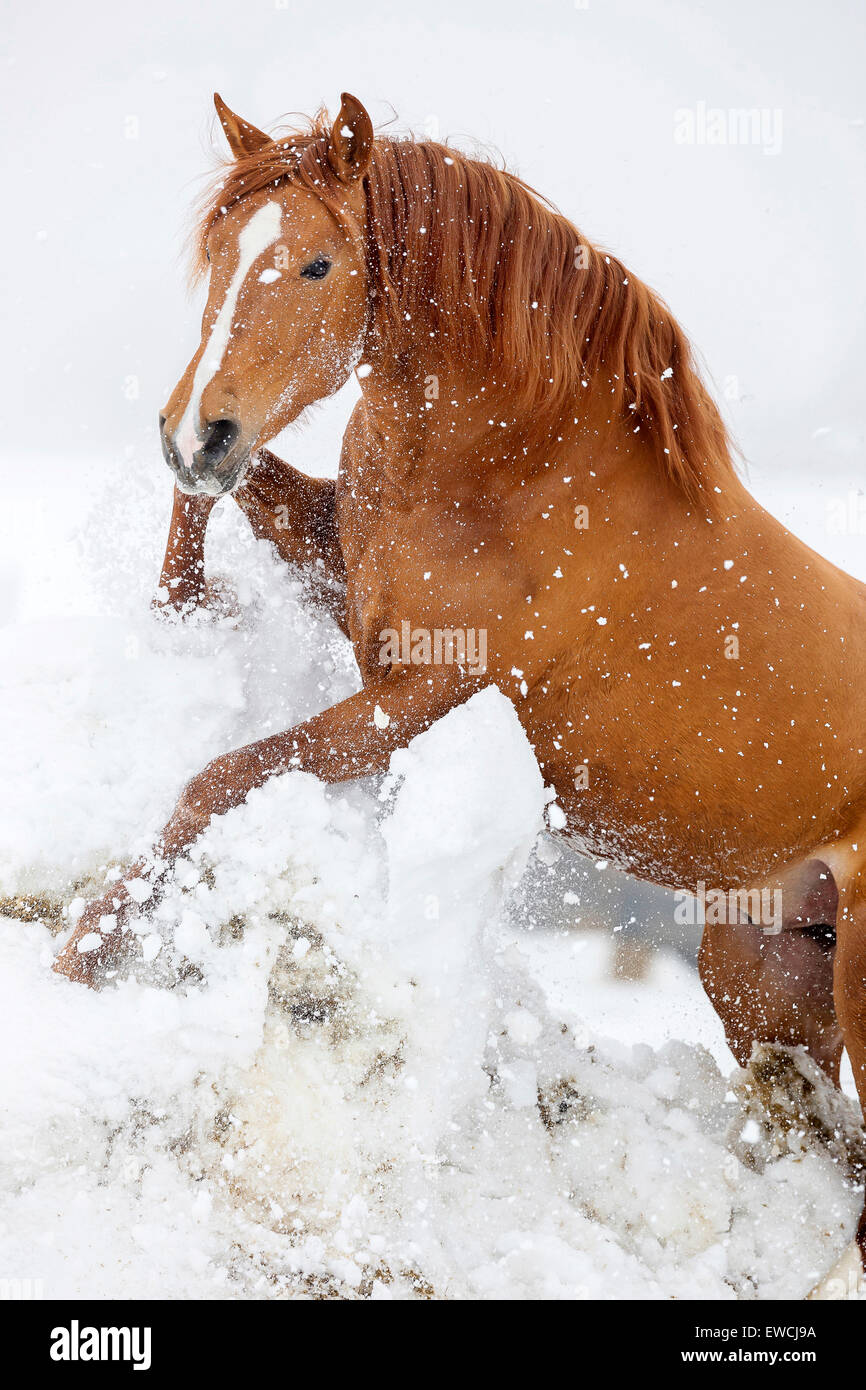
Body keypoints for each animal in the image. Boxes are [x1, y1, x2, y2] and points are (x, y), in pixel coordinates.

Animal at [54, 95, 866, 1289]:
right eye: (219, 253)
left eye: (318, 262)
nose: (196, 428)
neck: (516, 471)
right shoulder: (347, 582)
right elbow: (237, 496)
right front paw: (182, 603)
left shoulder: (422, 692)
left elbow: (221, 778)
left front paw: (80, 955)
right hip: (765, 976)